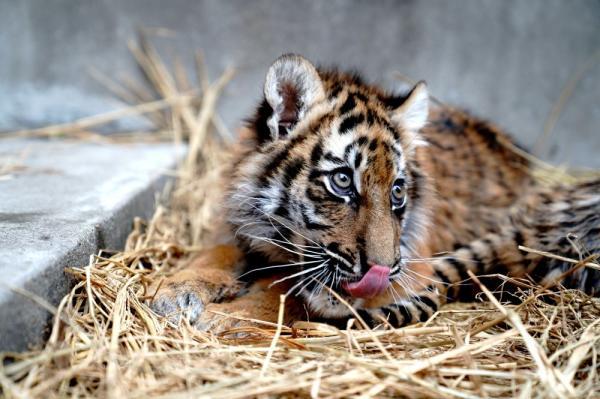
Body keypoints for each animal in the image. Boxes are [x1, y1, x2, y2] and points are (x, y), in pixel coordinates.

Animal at [149, 54, 600, 332]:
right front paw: (175, 292)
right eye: (342, 181)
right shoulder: (238, 225)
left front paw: (222, 317)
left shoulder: (413, 275)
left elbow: (284, 292)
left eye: (397, 191)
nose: (380, 269)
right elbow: (216, 251)